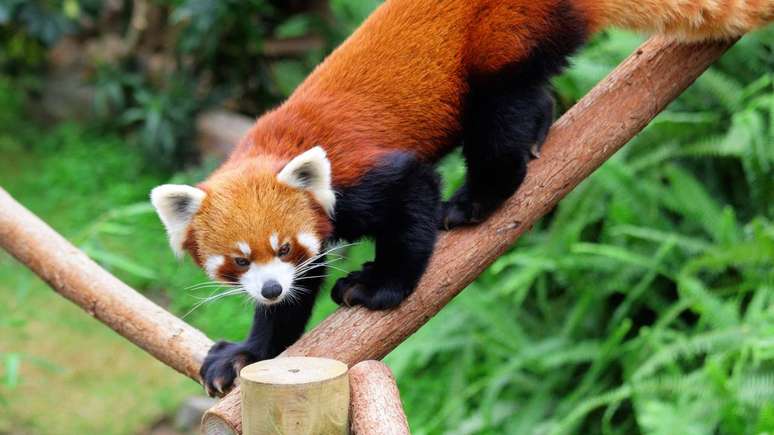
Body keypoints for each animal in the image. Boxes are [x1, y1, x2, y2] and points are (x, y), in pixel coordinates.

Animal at [150, 0, 773, 397]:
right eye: (240, 261)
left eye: (284, 248)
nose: (271, 287)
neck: (274, 145)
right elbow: (295, 305)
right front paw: (248, 353)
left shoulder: (360, 178)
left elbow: (412, 200)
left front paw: (378, 287)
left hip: (500, 39)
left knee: (500, 116)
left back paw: (478, 200)